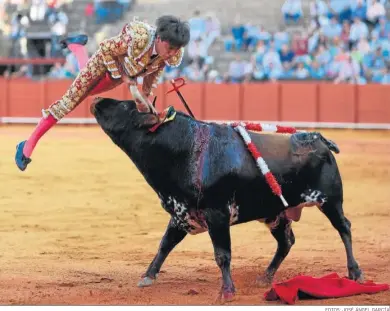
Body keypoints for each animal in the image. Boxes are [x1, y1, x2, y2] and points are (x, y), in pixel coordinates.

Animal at [90, 97, 362, 302]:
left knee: (344, 227)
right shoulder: (181, 214)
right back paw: (265, 277)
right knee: (286, 242)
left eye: (127, 107)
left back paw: (355, 272)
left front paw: (227, 292)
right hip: (276, 213)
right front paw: (148, 276)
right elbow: (165, 245)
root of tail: (319, 139)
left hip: (330, 201)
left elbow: (222, 254)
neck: (186, 149)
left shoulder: (217, 214)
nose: (97, 100)